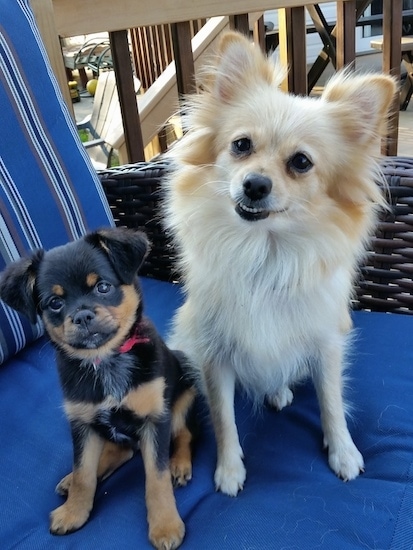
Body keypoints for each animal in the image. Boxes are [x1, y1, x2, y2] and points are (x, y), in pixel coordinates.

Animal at [0, 227, 196, 550]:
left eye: (103, 287)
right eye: (55, 303)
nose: (82, 316)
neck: (103, 361)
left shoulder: (155, 419)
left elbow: (156, 476)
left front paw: (165, 525)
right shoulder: (82, 423)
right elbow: (83, 473)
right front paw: (73, 512)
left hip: (184, 397)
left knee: (184, 434)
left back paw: (180, 464)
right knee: (120, 452)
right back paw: (70, 480)